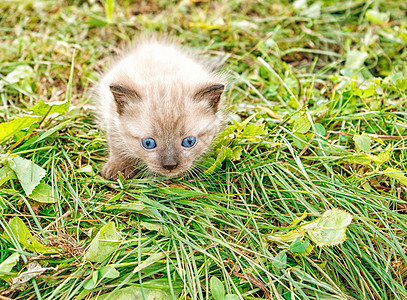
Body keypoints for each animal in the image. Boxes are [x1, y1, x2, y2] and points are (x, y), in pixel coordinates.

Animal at [95, 37, 228, 178]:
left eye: (189, 142)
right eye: (148, 143)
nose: (170, 166)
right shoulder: (111, 118)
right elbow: (116, 145)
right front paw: (118, 166)